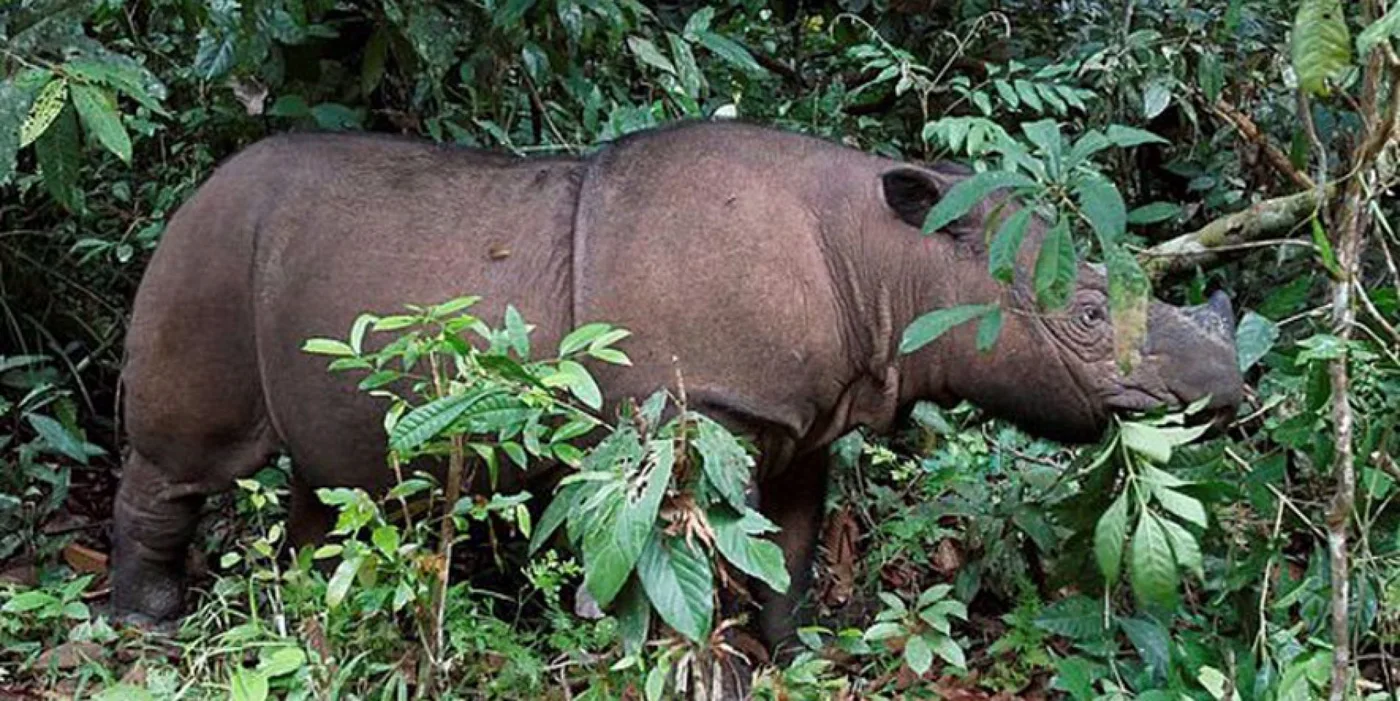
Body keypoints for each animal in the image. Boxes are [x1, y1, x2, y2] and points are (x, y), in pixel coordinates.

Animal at [114, 120, 1243, 643]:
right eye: (1088, 317)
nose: (1228, 388)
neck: (892, 265)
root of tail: (202, 185)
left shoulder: (803, 413)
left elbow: (788, 545)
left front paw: (793, 650)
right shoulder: (695, 408)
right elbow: (669, 553)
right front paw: (678, 654)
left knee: (337, 480)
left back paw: (314, 613)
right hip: (209, 246)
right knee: (182, 459)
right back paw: (148, 622)